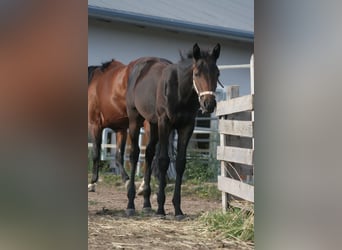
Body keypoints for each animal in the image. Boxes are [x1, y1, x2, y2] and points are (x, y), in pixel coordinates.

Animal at [127, 42, 220, 218]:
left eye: (217, 73)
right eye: (196, 73)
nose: (209, 104)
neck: (180, 91)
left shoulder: (186, 127)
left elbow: (180, 163)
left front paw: (177, 209)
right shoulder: (165, 123)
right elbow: (163, 161)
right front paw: (161, 208)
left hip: (153, 124)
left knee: (149, 154)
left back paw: (147, 203)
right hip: (135, 119)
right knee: (135, 154)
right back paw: (130, 204)